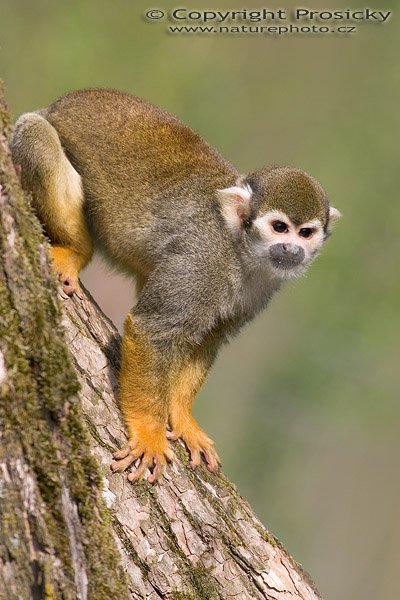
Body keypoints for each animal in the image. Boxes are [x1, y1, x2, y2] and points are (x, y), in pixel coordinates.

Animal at [10, 89, 340, 482]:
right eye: (279, 228)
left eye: (305, 232)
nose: (291, 249)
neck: (240, 251)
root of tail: (59, 103)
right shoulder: (201, 261)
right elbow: (152, 329)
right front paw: (149, 432)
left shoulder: (259, 290)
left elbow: (206, 340)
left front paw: (183, 420)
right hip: (39, 130)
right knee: (34, 133)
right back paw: (76, 250)